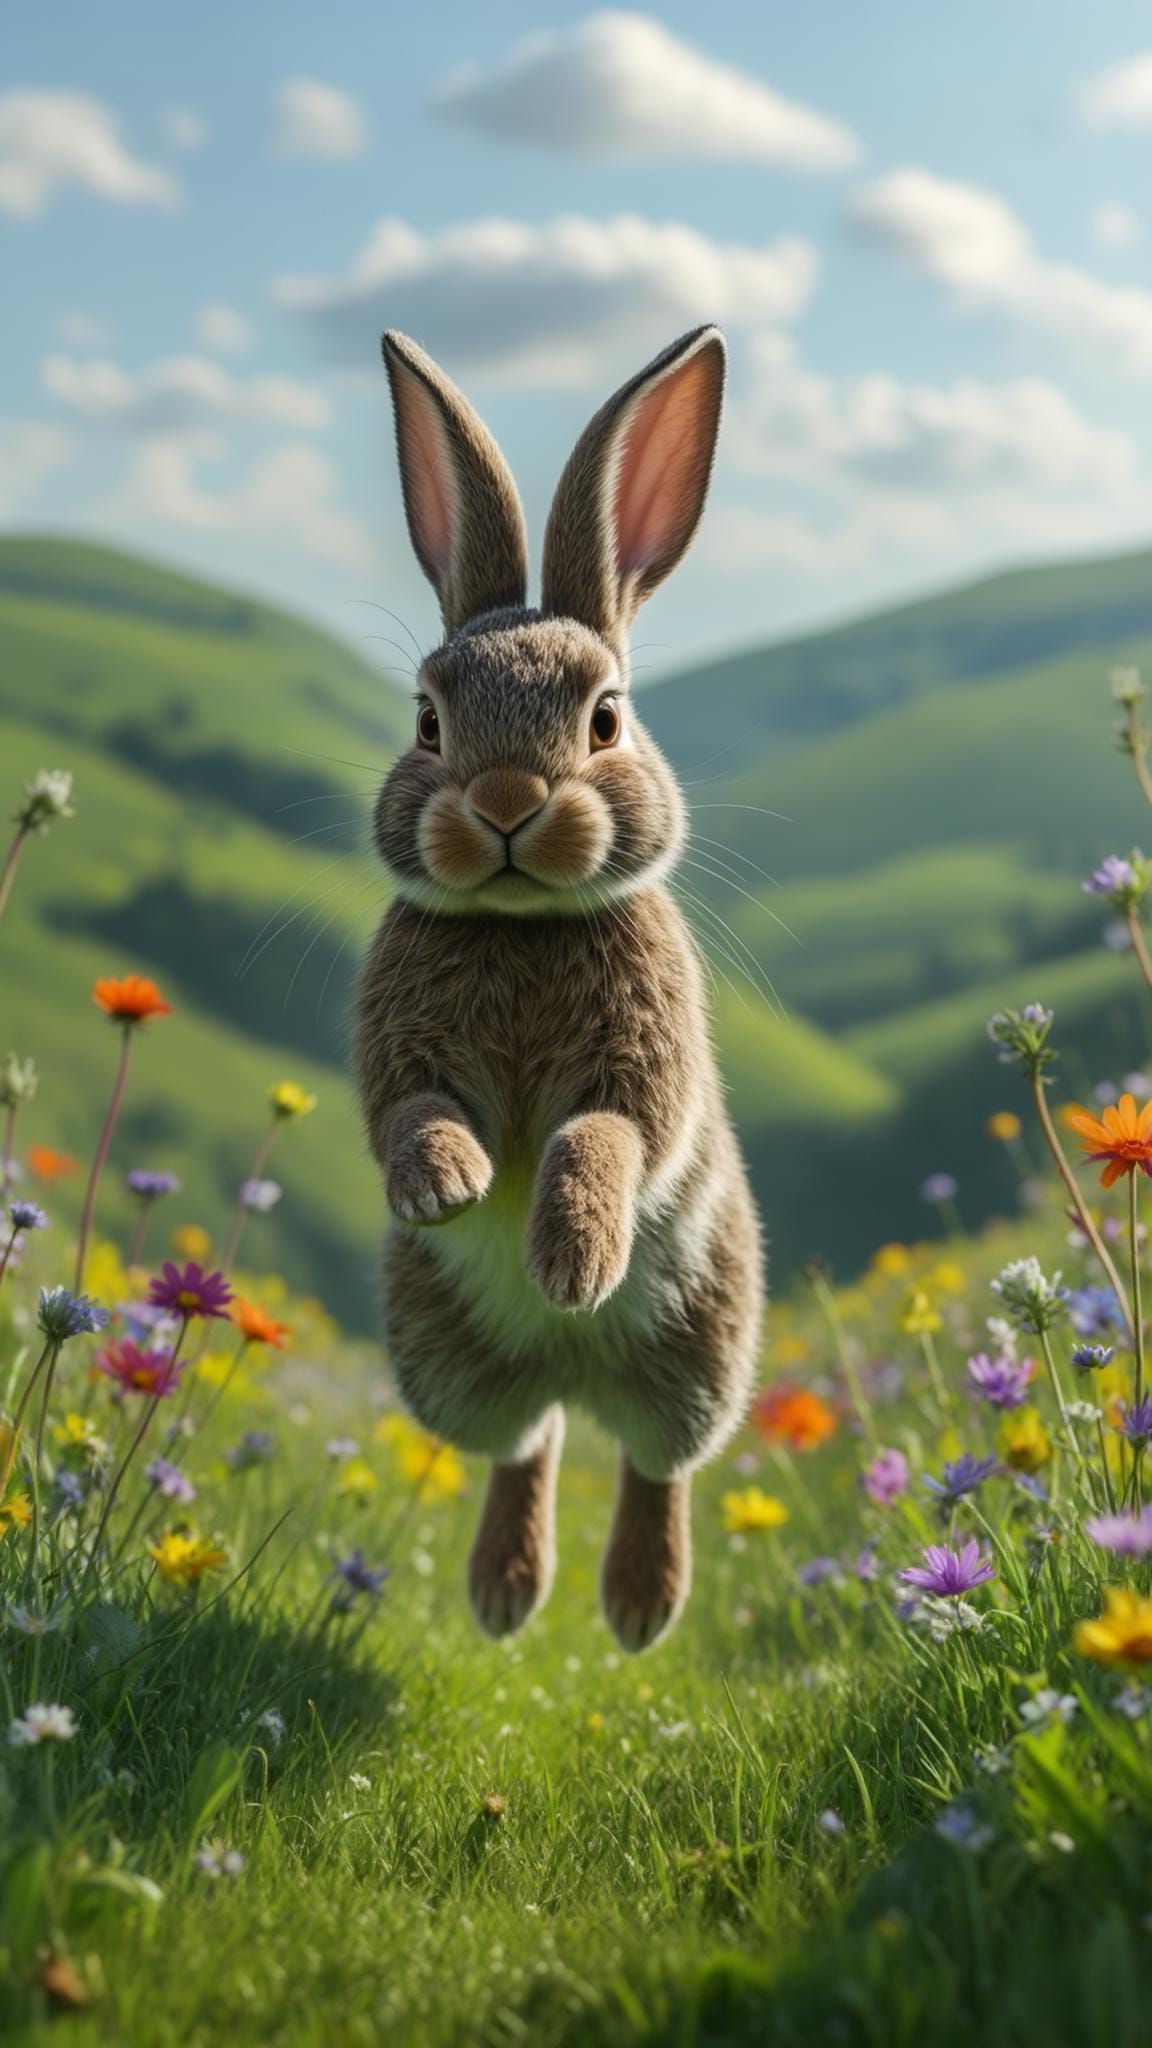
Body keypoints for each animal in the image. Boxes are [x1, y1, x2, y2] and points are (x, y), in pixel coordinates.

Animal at [356, 323, 764, 1652]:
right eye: (427, 720)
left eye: (606, 719)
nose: (503, 804)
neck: (526, 923)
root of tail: (574, 1374)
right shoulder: (404, 1057)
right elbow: (415, 1112)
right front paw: (449, 1184)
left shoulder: (642, 1073)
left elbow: (606, 1135)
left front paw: (575, 1262)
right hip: (443, 1360)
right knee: (522, 1444)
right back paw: (506, 1590)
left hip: (707, 1340)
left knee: (657, 1459)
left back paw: (638, 1604)